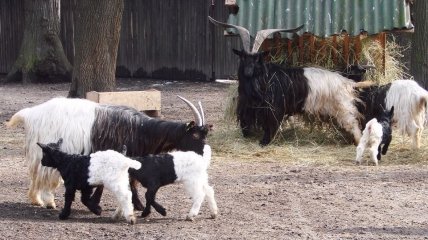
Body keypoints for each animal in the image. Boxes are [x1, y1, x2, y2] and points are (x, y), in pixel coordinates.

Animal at [5, 95, 209, 210]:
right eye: (195, 135)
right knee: (46, 175)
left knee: (36, 175)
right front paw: (136, 205)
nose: (203, 155)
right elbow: (130, 182)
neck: (141, 130)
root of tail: (31, 114)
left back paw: (36, 200)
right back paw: (48, 202)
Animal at [209, 16, 366, 145]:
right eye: (242, 57)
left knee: (355, 127)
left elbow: (269, 127)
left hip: (344, 110)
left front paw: (264, 142)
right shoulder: (247, 108)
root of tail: (347, 83)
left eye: (257, 59)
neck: (264, 79)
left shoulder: (272, 110)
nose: (248, 72)